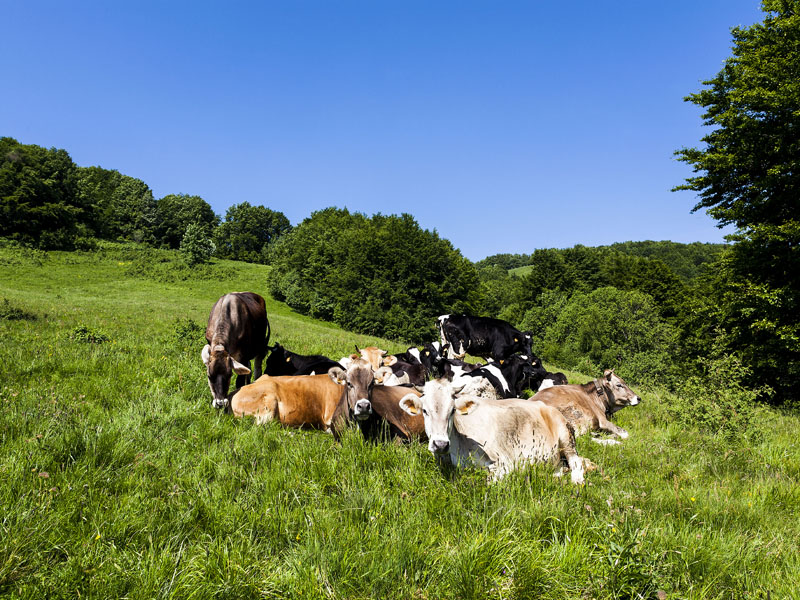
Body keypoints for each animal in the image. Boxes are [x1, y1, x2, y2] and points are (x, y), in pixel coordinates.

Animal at [400, 378, 588, 486]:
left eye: (452, 410)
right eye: (425, 411)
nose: (440, 444)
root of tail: (544, 405)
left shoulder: (506, 463)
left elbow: (488, 482)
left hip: (565, 436)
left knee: (576, 462)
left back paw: (577, 481)